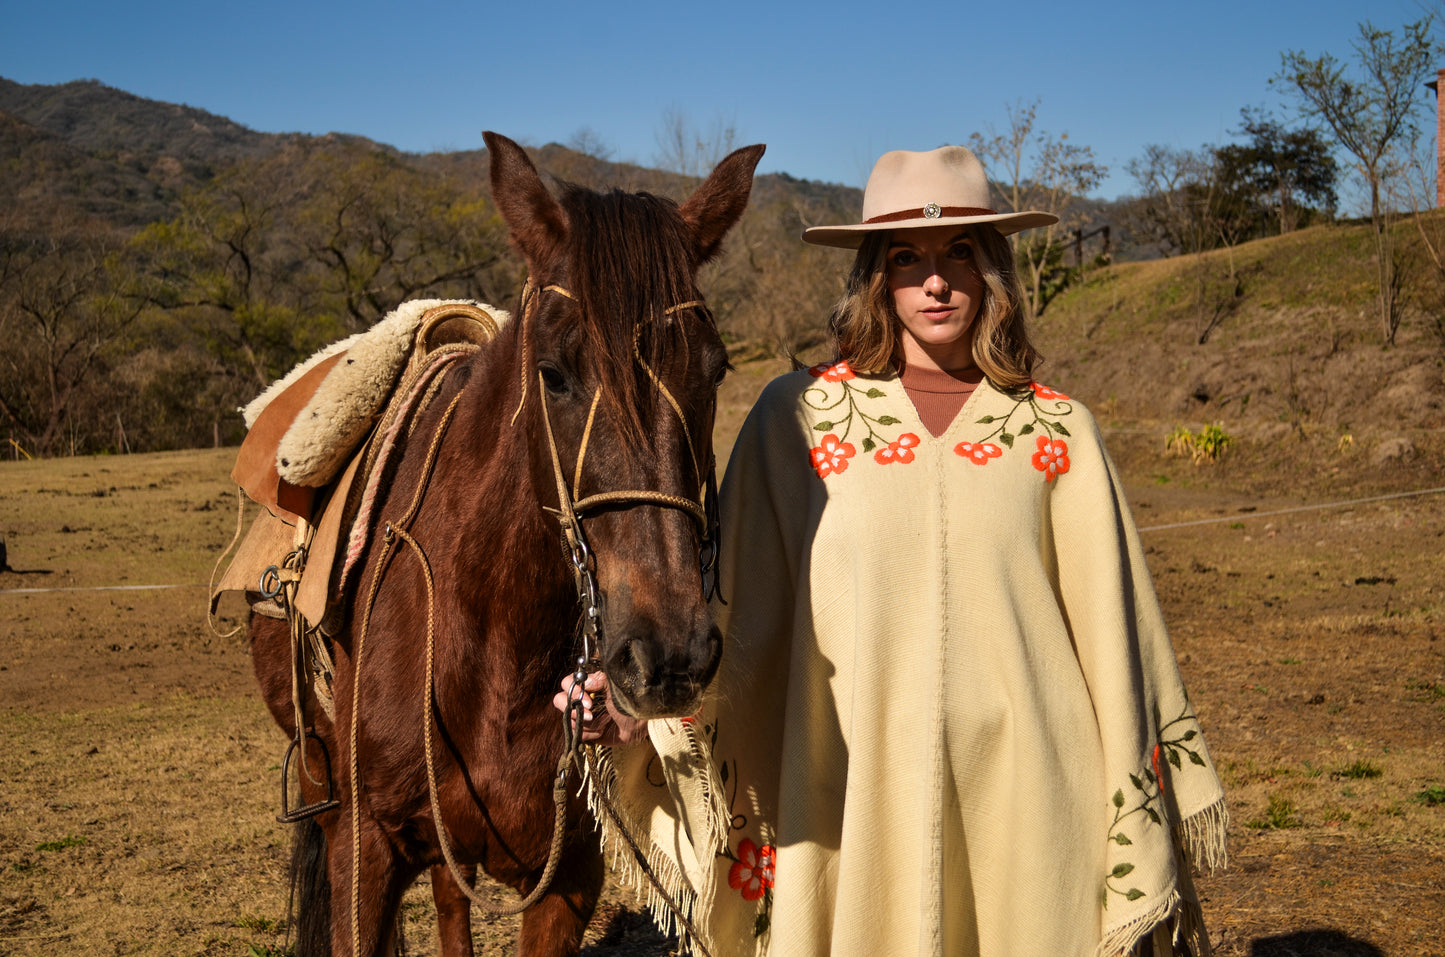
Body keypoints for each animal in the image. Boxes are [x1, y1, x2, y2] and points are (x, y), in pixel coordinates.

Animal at [245, 129, 768, 957]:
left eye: (713, 370)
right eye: (552, 373)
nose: (668, 654)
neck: (491, 640)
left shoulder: (565, 878)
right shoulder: (363, 850)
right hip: (323, 789)